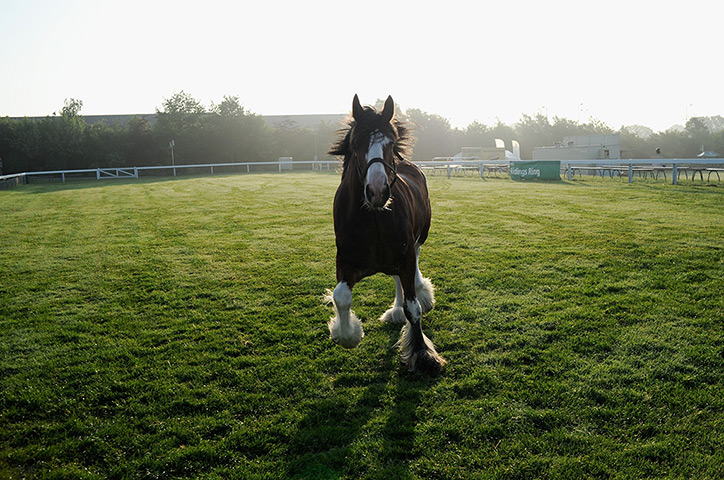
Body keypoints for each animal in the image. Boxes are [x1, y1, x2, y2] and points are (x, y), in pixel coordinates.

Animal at [325, 94, 446, 375]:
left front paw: (423, 354)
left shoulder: (406, 256)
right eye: (356, 143)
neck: (373, 218)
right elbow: (341, 297)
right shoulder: (345, 261)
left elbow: (413, 308)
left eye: (390, 143)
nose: (378, 191)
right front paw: (347, 334)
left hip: (416, 243)